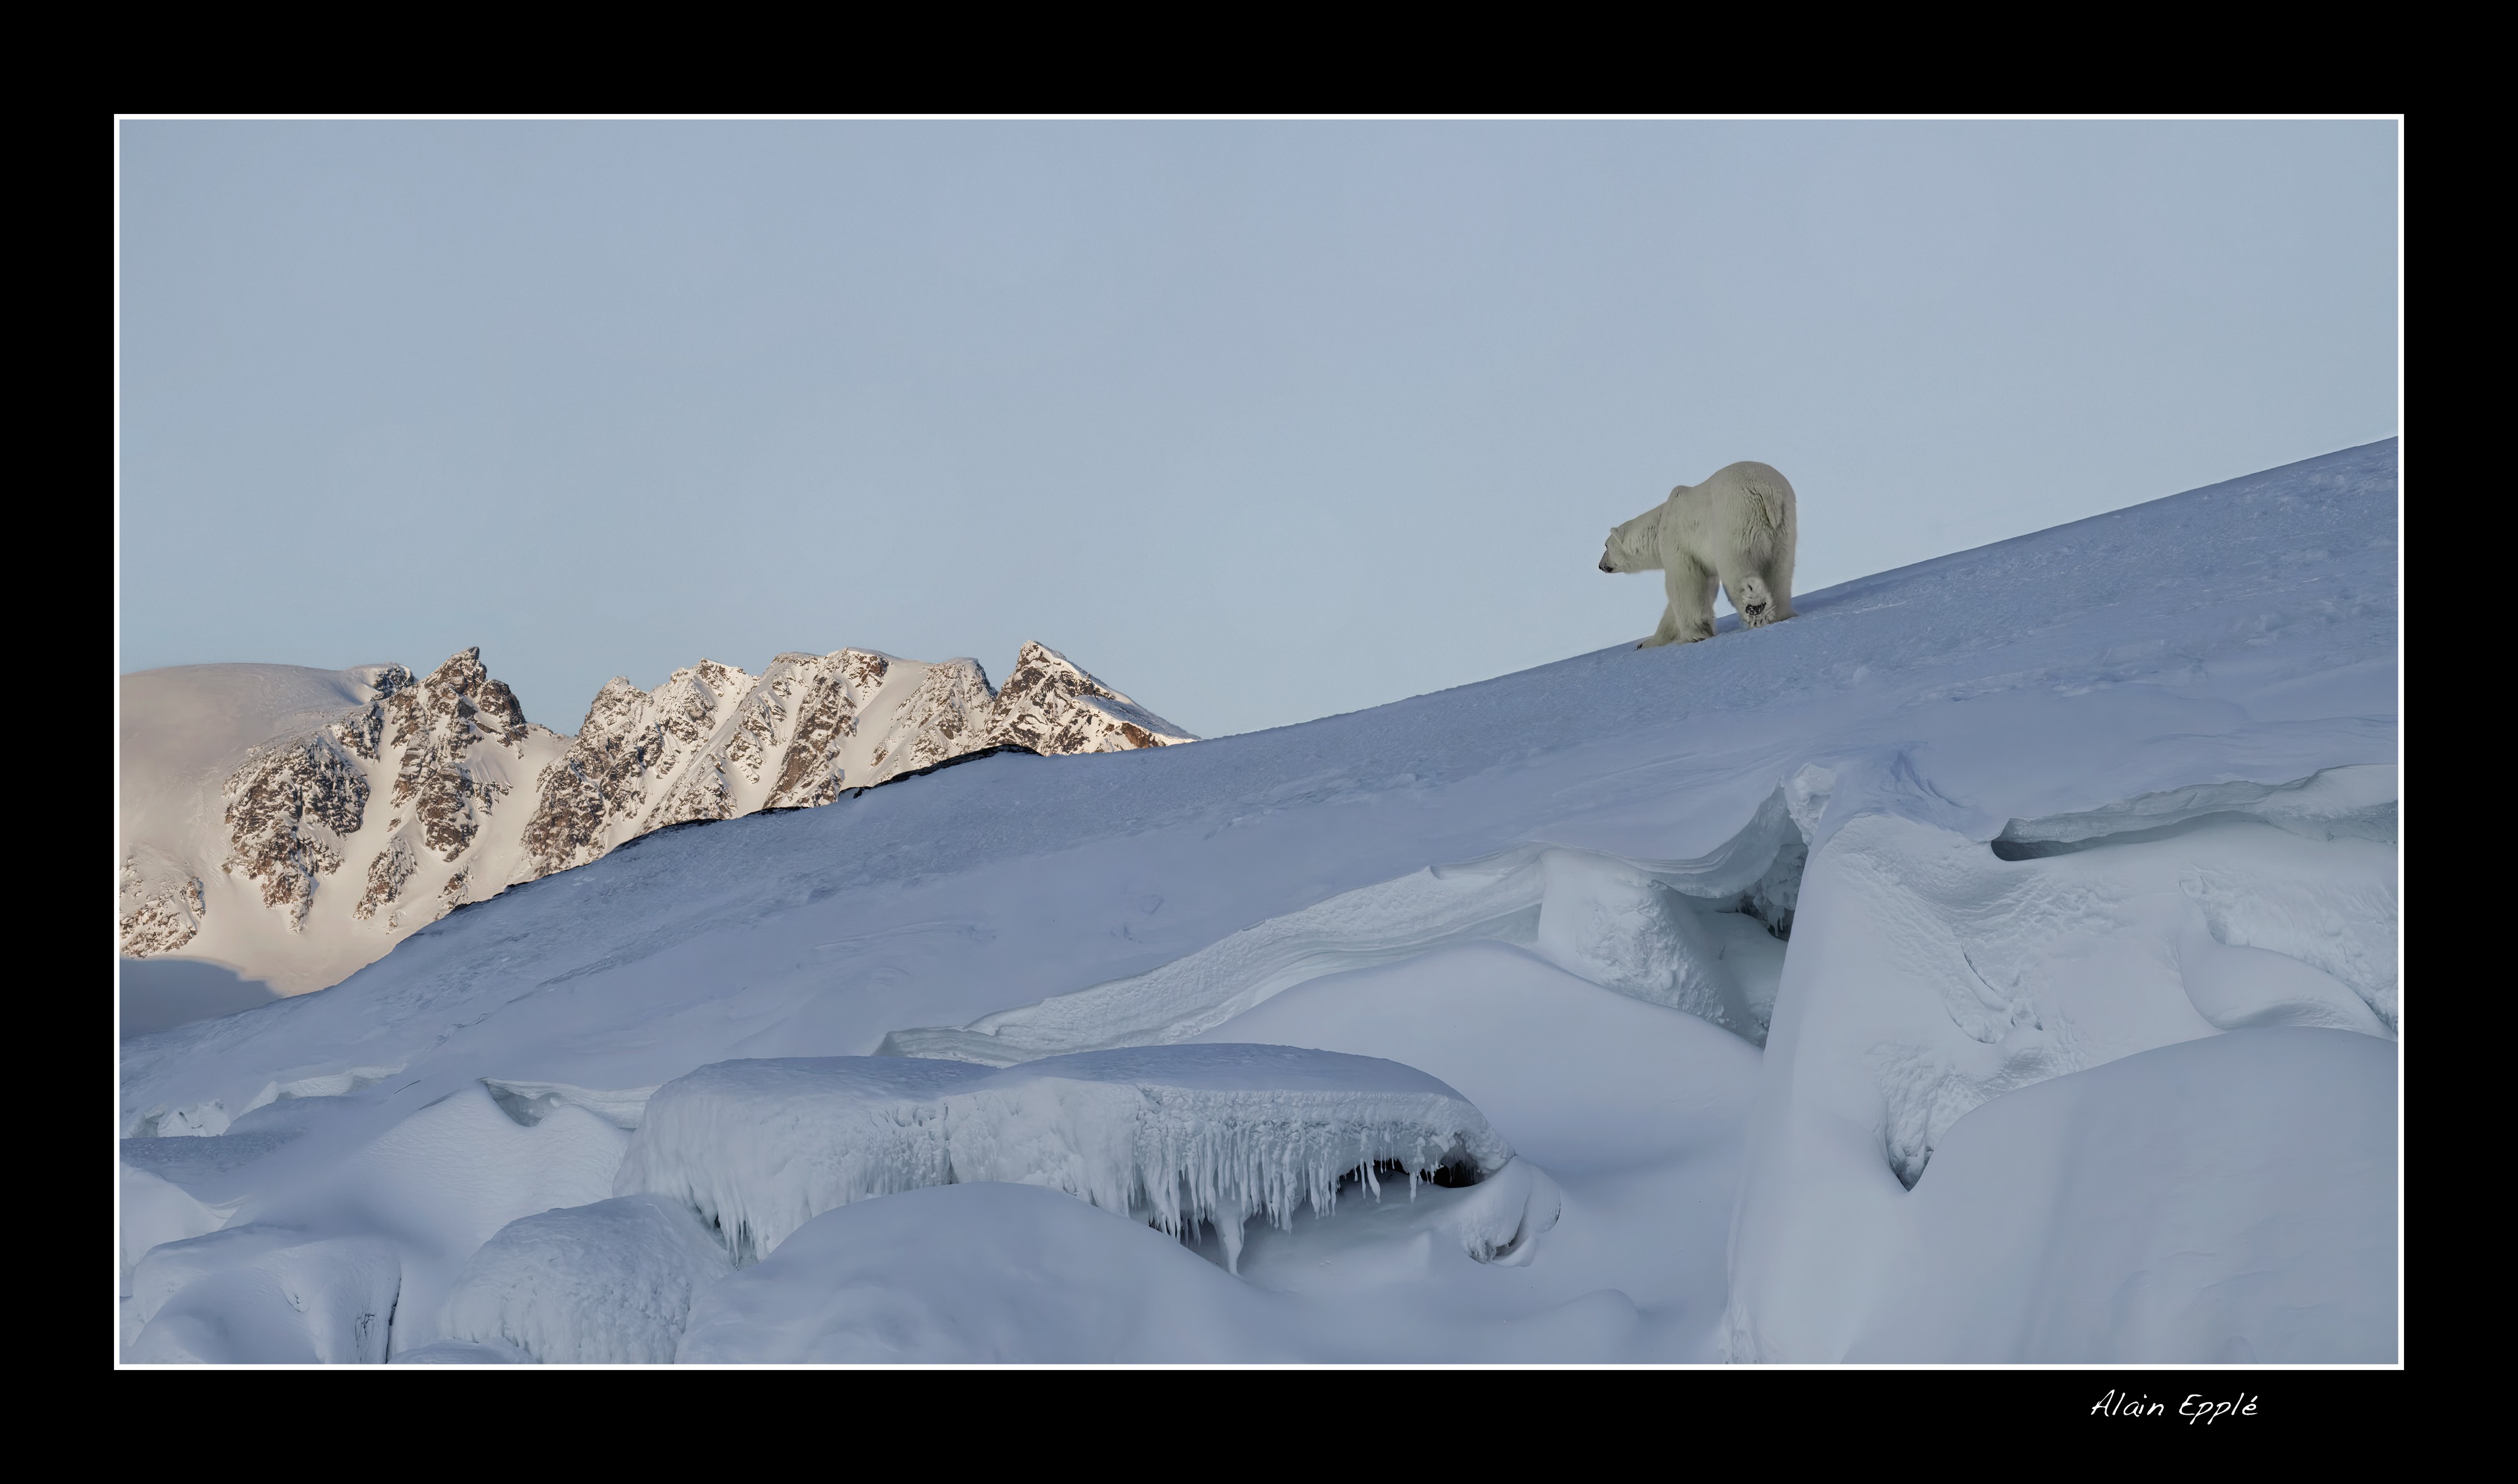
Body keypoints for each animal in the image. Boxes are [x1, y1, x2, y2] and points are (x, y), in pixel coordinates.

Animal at [1601, 463, 1803, 649]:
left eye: (1606, 546)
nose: (1601, 565)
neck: (1659, 523)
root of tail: (1767, 492)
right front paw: (1646, 643)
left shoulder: (1678, 541)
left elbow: (1684, 584)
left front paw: (1694, 635)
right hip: (1784, 528)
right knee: (1780, 572)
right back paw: (1782, 614)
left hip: (1734, 519)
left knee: (1736, 565)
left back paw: (1756, 608)